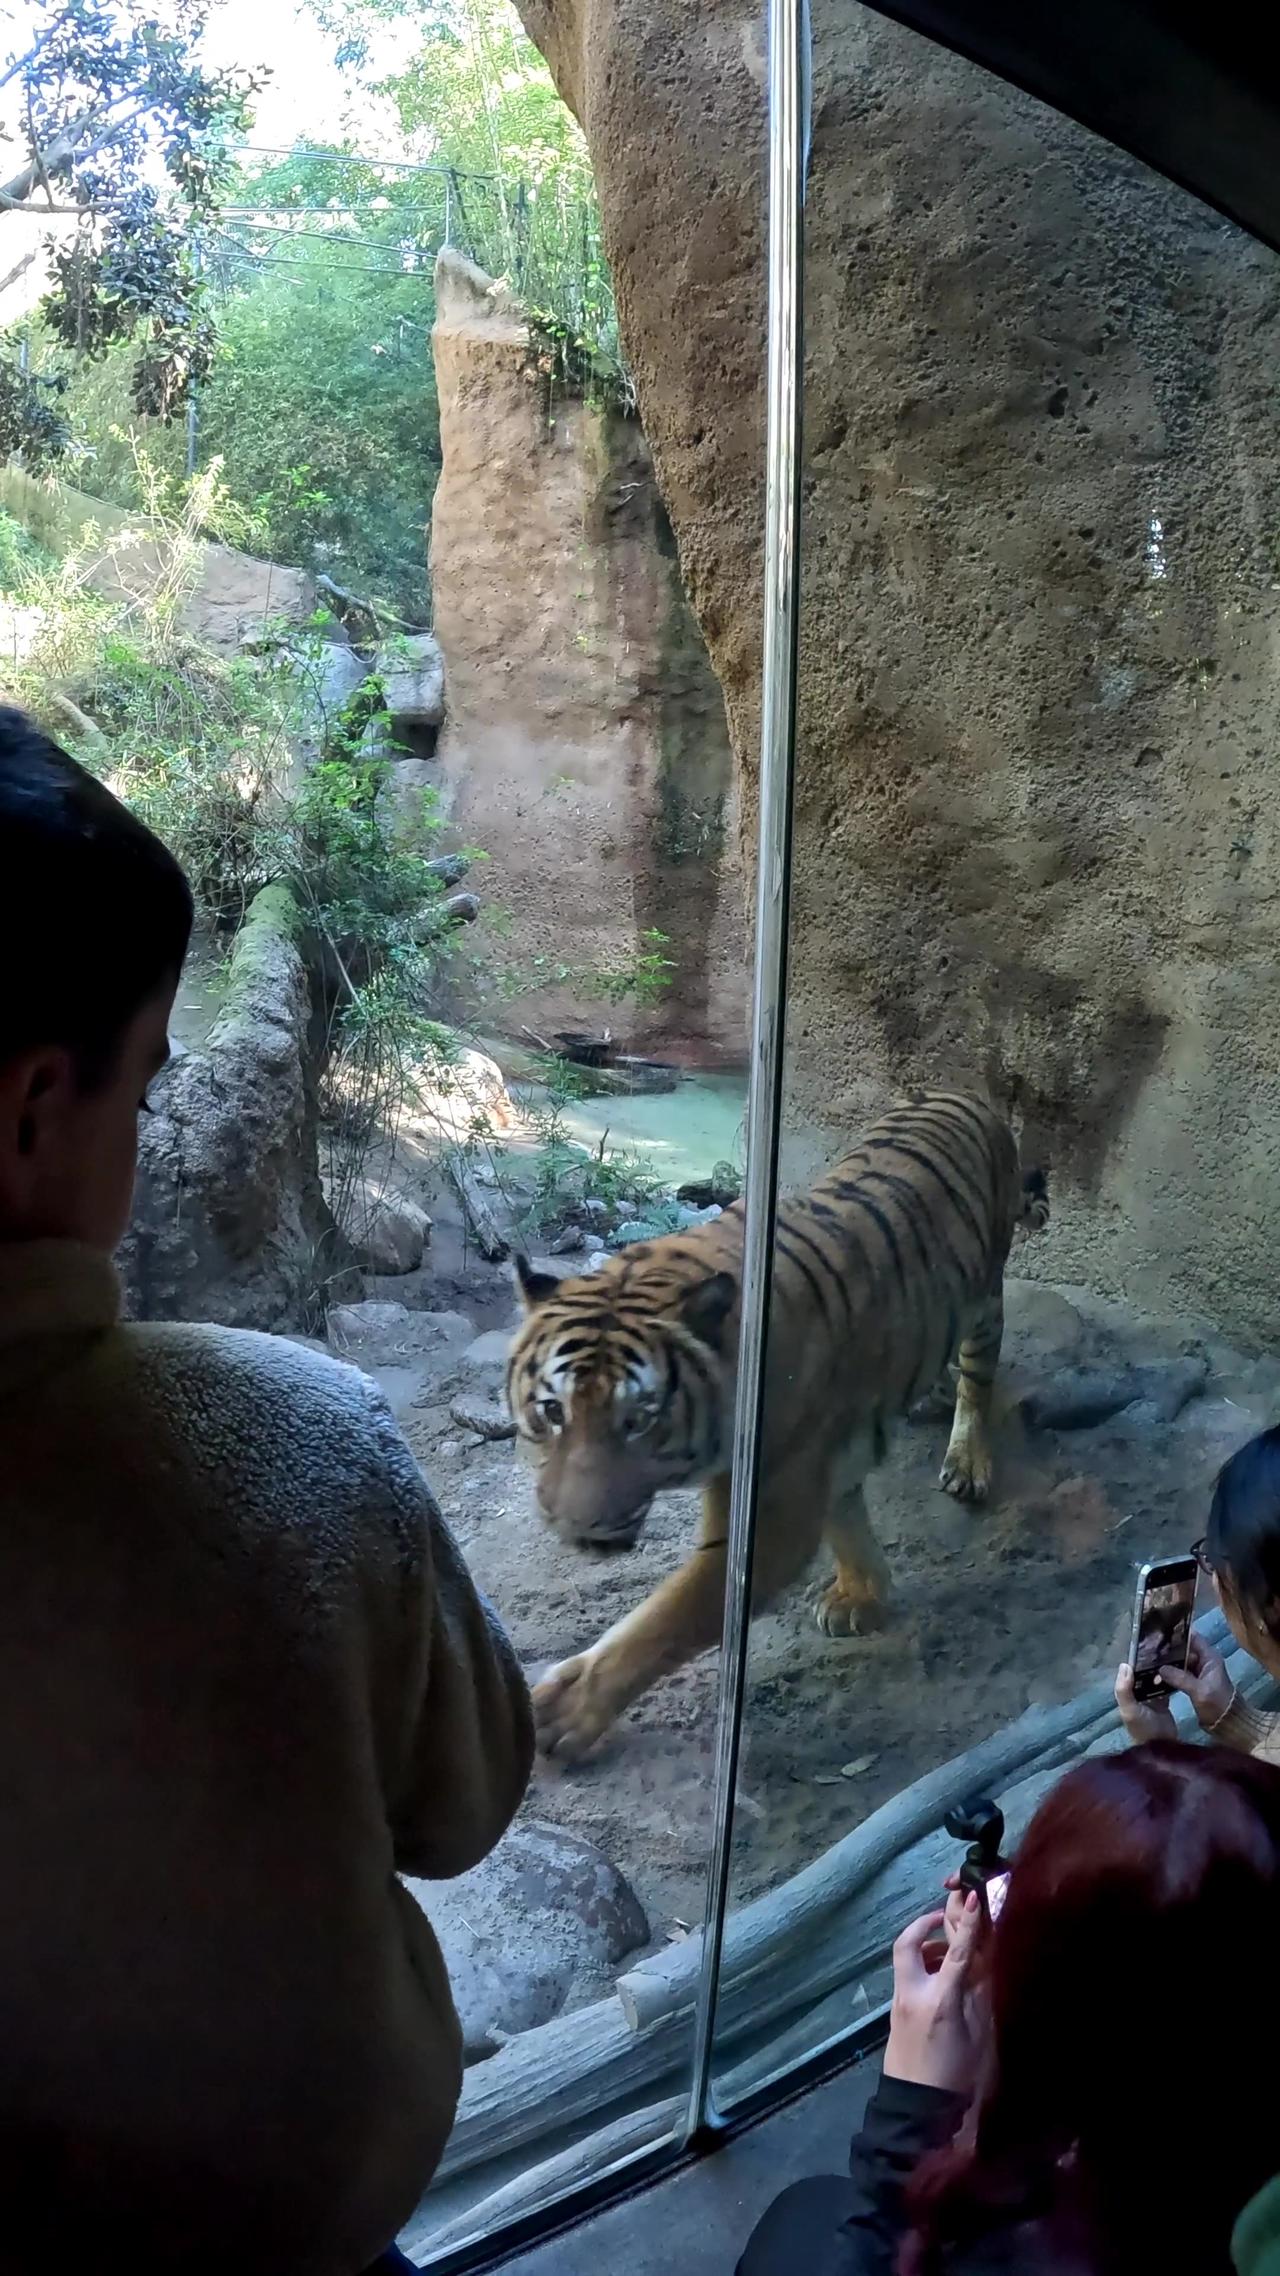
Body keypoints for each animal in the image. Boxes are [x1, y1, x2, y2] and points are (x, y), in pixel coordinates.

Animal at [503, 1092, 1043, 1766]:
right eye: (554, 1412)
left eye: (638, 1421)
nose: (576, 1529)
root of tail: (962, 1093)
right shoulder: (819, 1458)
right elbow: (846, 1514)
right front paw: (863, 1595)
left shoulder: (770, 1510)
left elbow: (669, 1618)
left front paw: (566, 1710)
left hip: (986, 1296)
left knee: (978, 1375)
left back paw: (967, 1457)